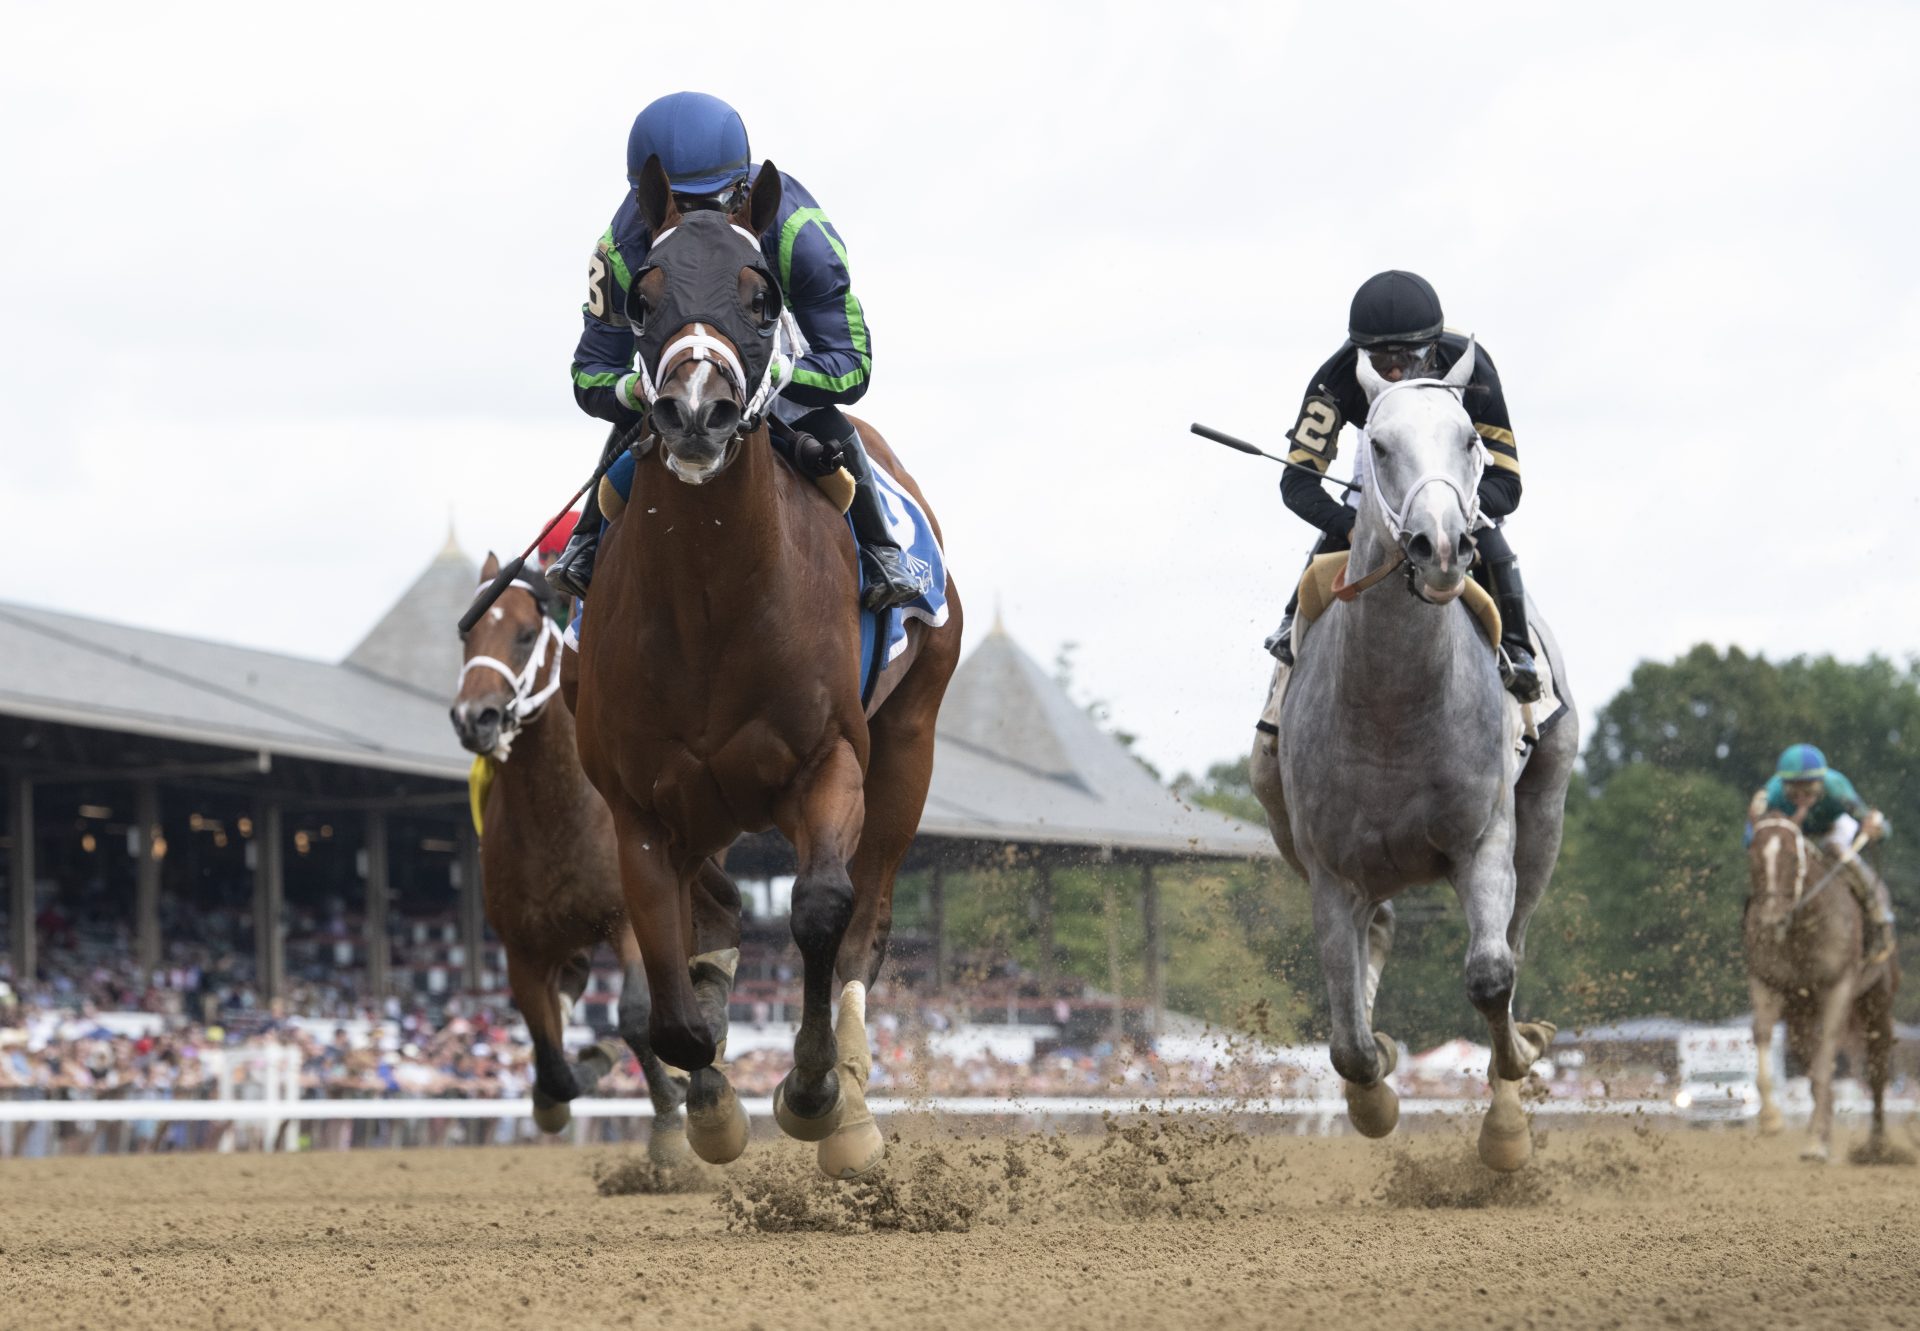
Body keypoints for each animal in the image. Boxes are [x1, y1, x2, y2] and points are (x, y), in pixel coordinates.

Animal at [449, 560, 691, 1160]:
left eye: (524, 634)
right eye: (467, 636)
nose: (475, 718)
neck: (559, 817)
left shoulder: (628, 918)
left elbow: (635, 1016)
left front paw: (668, 1121)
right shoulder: (522, 950)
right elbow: (552, 1059)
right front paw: (584, 1065)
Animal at [564, 152, 960, 1175]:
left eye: (761, 293)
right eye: (643, 292)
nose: (695, 412)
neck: (712, 601)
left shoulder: (830, 759)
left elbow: (820, 909)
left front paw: (813, 1092)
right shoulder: (638, 805)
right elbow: (669, 997)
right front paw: (711, 1108)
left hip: (908, 747)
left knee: (866, 919)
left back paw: (851, 1117)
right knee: (717, 915)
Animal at [1251, 345, 1582, 1175]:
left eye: (1468, 437)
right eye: (1379, 443)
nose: (1441, 548)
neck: (1392, 709)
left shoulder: (1483, 838)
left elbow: (1491, 975)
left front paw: (1514, 1099)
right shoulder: (1328, 870)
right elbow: (1347, 1041)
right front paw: (1375, 1097)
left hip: (1545, 811)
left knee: (1512, 941)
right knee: (1380, 931)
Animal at [1751, 802, 1896, 1160]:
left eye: (1793, 856)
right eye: (1753, 853)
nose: (1771, 917)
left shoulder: (1838, 987)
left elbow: (1828, 1053)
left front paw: (1817, 1141)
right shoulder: (1767, 983)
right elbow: (1764, 1035)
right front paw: (1772, 1120)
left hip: (1877, 1000)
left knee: (1876, 1067)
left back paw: (1877, 1146)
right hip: (1801, 1012)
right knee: (1810, 1057)